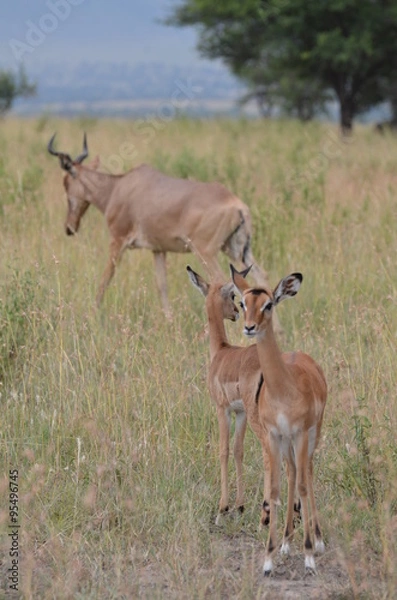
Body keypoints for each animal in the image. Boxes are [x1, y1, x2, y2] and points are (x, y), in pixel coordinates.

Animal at [47, 135, 270, 314]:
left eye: (66, 183)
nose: (69, 227)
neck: (119, 187)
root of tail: (238, 205)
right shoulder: (158, 250)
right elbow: (162, 286)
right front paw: (168, 319)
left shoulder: (118, 241)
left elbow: (105, 278)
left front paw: (92, 312)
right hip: (237, 251)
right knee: (260, 278)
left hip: (206, 251)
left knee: (224, 282)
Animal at [230, 268, 326, 576]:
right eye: (242, 303)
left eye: (269, 304)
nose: (249, 327)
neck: (284, 388)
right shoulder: (274, 435)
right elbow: (274, 490)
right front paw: (269, 558)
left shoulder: (300, 433)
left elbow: (304, 486)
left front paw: (309, 556)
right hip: (286, 442)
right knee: (293, 472)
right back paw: (286, 541)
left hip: (312, 433)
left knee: (308, 472)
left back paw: (317, 540)